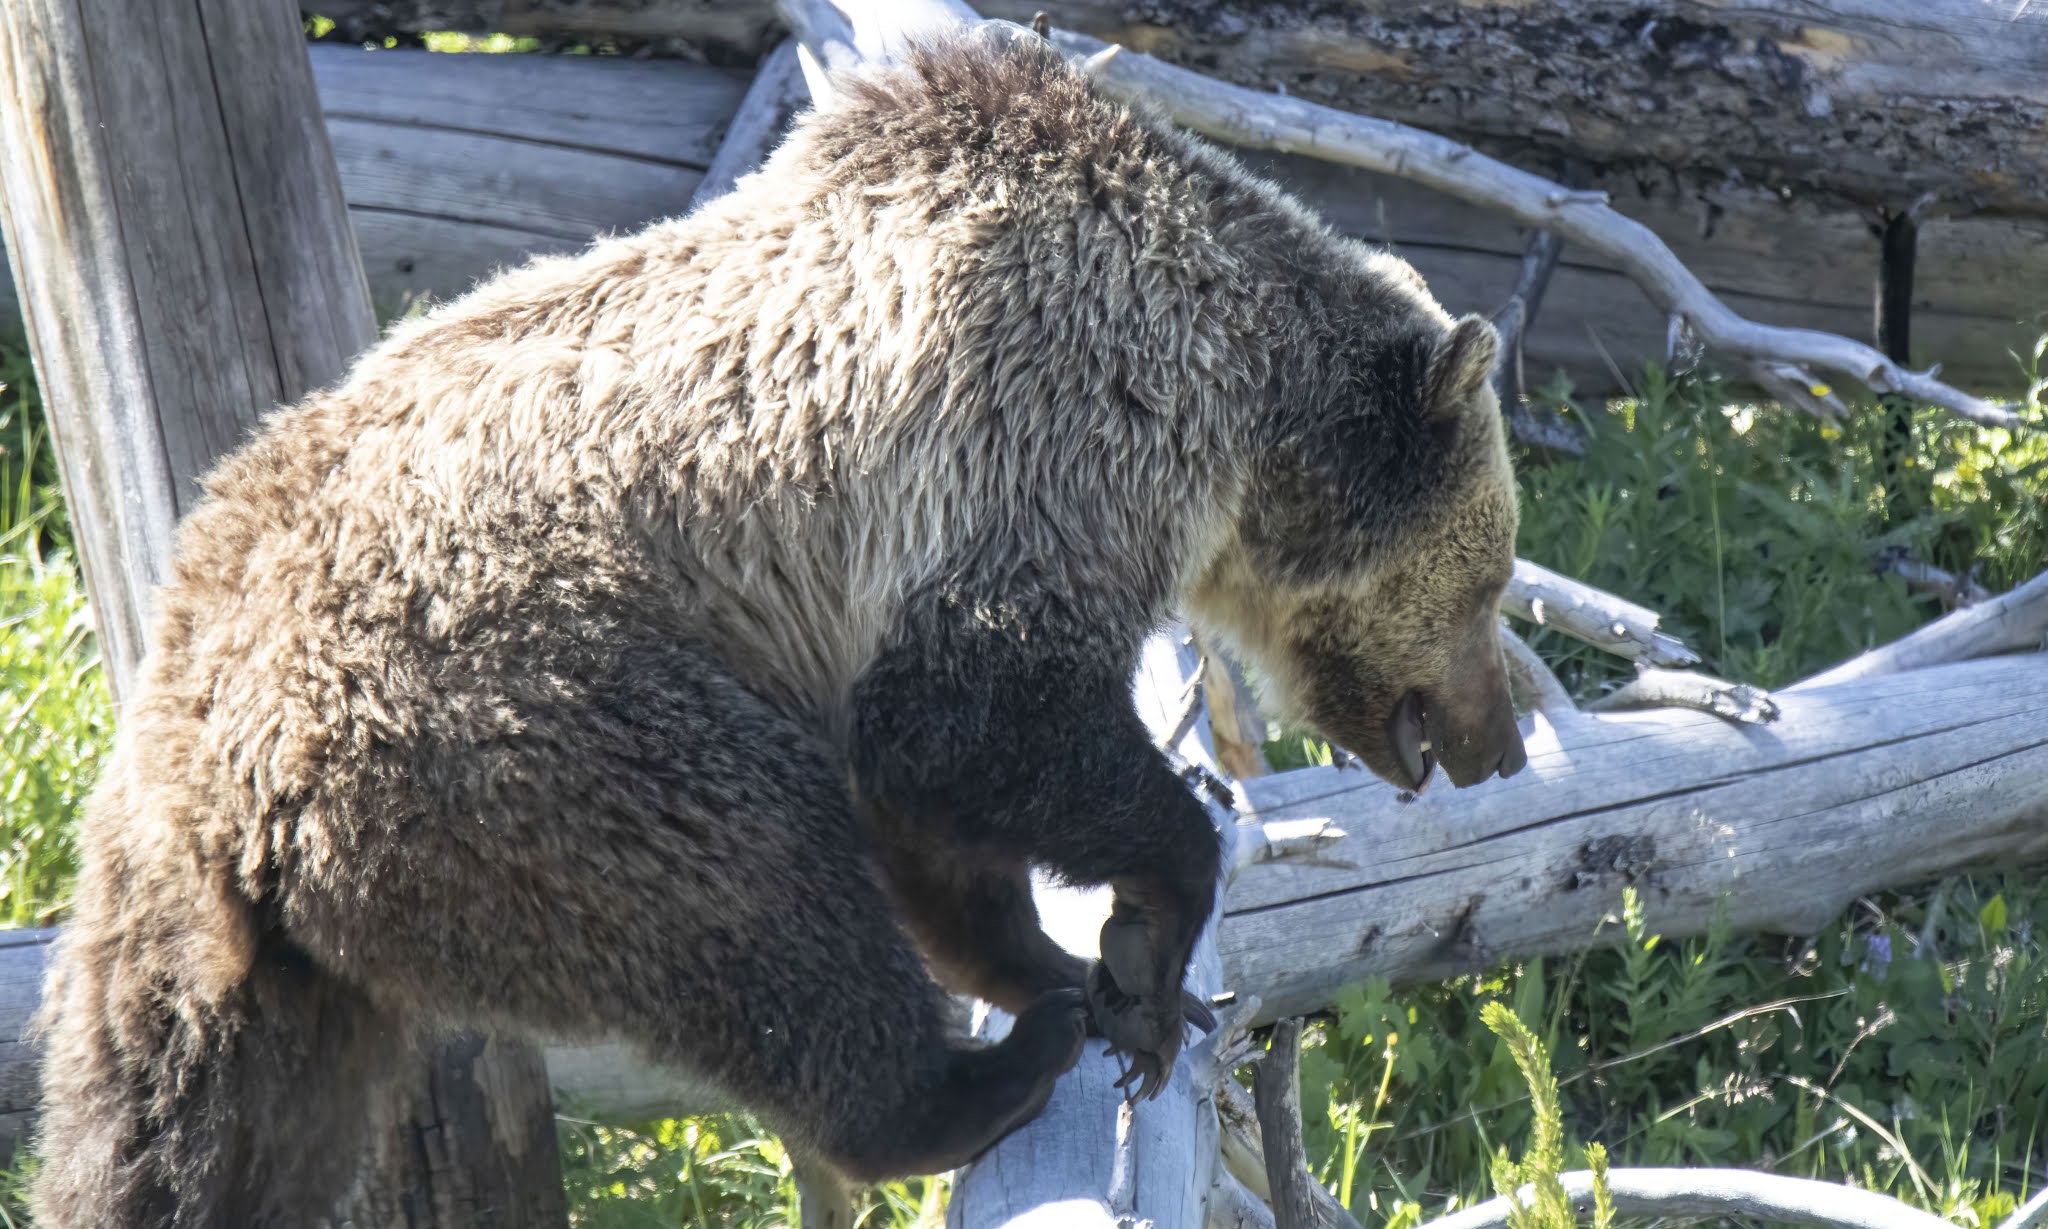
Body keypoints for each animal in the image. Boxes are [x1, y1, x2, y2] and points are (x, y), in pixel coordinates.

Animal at [27, 26, 1526, 1228]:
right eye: (1496, 584)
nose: (1501, 743)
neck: (1227, 406)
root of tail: (203, 760)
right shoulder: (1034, 419)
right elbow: (971, 716)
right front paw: (1143, 952)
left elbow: (935, 806)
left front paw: (1078, 964)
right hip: (524, 728)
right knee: (752, 886)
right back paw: (968, 1082)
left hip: (210, 941)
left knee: (187, 1125)